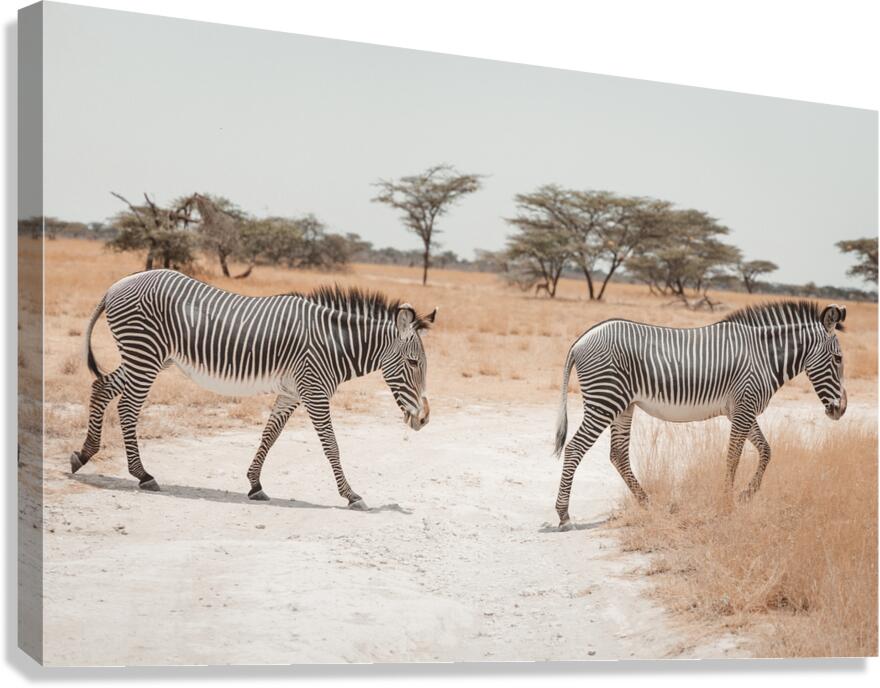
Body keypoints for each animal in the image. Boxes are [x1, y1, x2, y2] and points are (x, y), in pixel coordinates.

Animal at [70, 269, 437, 509]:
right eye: (414, 363)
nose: (424, 419)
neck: (333, 345)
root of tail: (117, 284)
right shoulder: (314, 391)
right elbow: (331, 445)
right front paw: (351, 494)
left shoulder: (292, 392)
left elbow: (269, 435)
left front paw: (255, 484)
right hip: (145, 354)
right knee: (127, 407)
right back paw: (142, 474)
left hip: (146, 357)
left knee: (102, 386)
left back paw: (83, 454)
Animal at [552, 301, 847, 531]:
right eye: (838, 358)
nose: (841, 410)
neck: (764, 357)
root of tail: (580, 340)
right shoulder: (744, 407)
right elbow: (733, 457)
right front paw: (727, 503)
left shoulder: (741, 409)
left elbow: (766, 451)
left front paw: (745, 495)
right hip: (605, 400)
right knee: (575, 448)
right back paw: (564, 515)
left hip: (623, 405)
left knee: (618, 454)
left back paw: (648, 503)